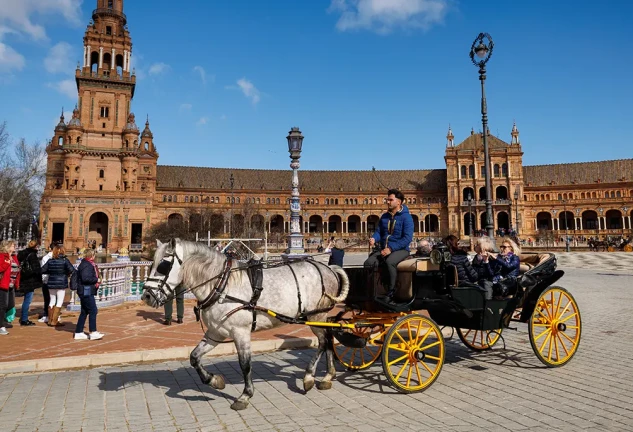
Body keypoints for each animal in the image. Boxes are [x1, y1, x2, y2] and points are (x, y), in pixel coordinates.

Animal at [141, 240, 348, 412]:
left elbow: (245, 364)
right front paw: (214, 380)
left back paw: (309, 376)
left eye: (163, 265)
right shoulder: (215, 332)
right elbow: (194, 357)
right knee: (329, 337)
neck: (221, 284)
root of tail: (328, 268)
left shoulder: (240, 332)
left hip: (316, 315)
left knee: (323, 341)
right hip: (318, 317)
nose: (146, 296)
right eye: (151, 264)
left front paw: (245, 395)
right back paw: (328, 377)